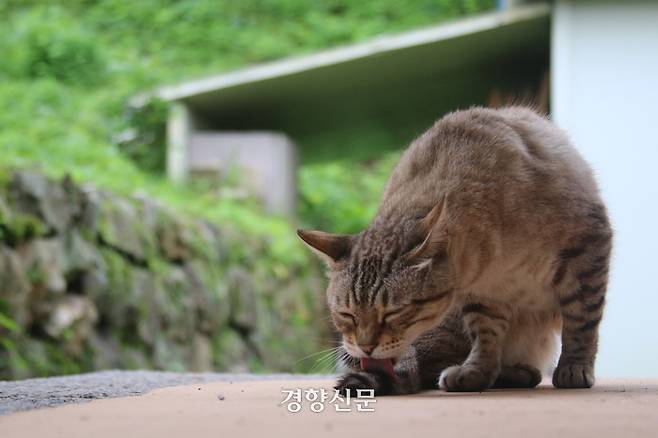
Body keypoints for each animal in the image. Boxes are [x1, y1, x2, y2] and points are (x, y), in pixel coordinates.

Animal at [298, 107, 608, 394]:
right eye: (347, 315)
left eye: (394, 312)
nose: (366, 348)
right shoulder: (485, 293)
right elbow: (486, 336)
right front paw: (476, 372)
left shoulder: (587, 246)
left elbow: (581, 320)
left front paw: (574, 366)